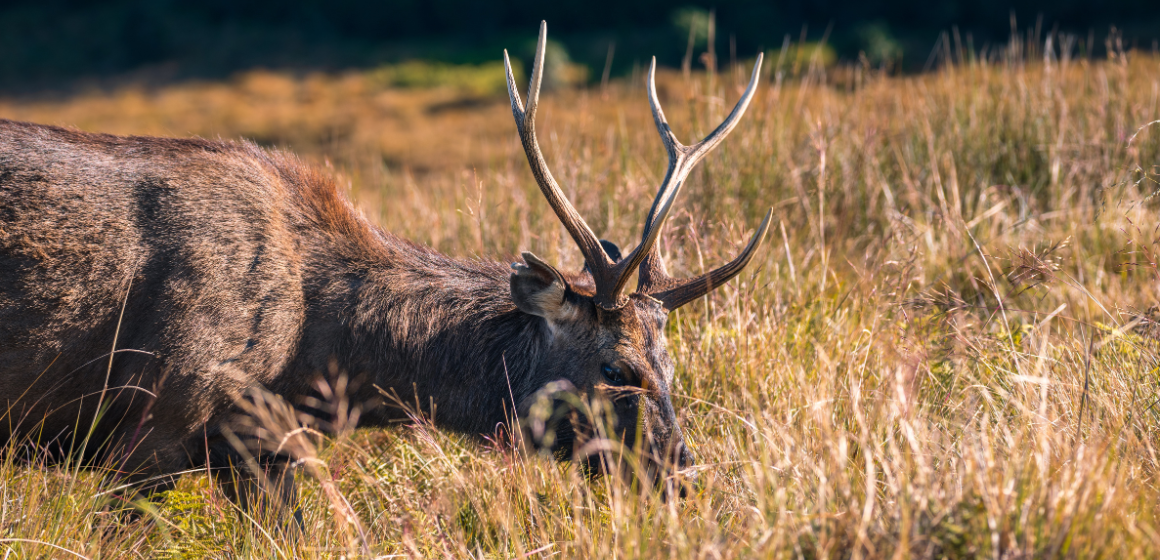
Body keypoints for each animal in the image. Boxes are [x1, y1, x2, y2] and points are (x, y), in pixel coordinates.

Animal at [0, 21, 770, 517]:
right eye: (617, 367)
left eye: (670, 362)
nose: (686, 474)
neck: (317, 351)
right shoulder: (151, 420)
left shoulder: (265, 449)